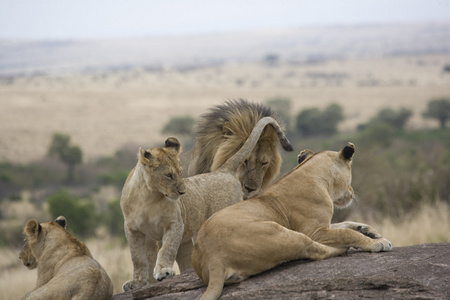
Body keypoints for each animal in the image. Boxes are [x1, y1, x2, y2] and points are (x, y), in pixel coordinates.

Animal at [119, 115, 292, 290]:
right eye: (169, 175)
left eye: (180, 172)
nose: (183, 192)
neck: (148, 196)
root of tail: (223, 170)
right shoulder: (132, 229)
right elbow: (138, 258)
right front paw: (137, 282)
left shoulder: (175, 224)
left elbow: (167, 248)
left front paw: (163, 271)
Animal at [192, 143, 392, 300]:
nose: (351, 192)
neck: (316, 175)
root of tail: (213, 258)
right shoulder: (314, 231)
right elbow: (346, 232)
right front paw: (378, 243)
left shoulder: (324, 226)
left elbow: (346, 224)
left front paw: (370, 231)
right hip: (284, 234)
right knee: (315, 251)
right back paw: (342, 249)